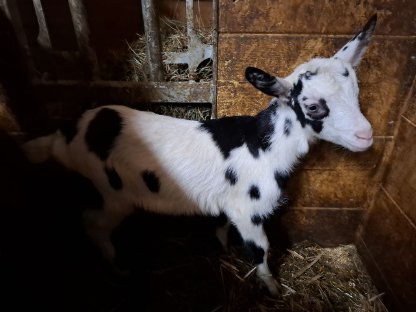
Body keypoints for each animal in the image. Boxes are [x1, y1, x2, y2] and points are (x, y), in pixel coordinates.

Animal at [25, 14, 376, 294]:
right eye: (313, 106)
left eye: (356, 92)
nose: (366, 135)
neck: (265, 146)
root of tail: (65, 136)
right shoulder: (247, 210)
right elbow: (260, 250)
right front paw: (273, 288)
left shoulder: (226, 202)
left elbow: (220, 227)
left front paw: (223, 250)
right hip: (111, 193)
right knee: (93, 224)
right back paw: (119, 268)